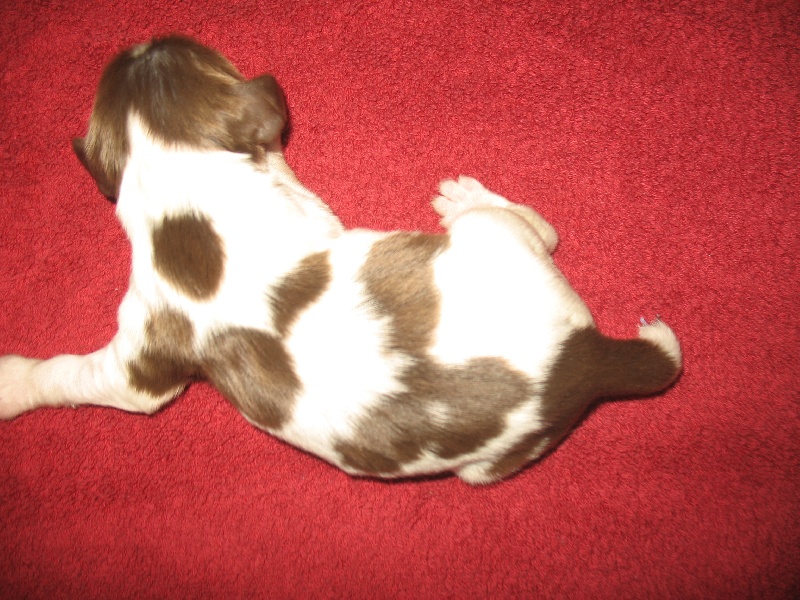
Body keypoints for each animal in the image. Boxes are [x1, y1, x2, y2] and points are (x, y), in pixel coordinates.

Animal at [0, 36, 681, 484]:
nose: (145, 35)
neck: (183, 192)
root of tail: (586, 358)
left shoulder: (140, 367)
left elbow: (71, 374)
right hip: (486, 463)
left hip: (496, 242)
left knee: (542, 225)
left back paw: (466, 196)